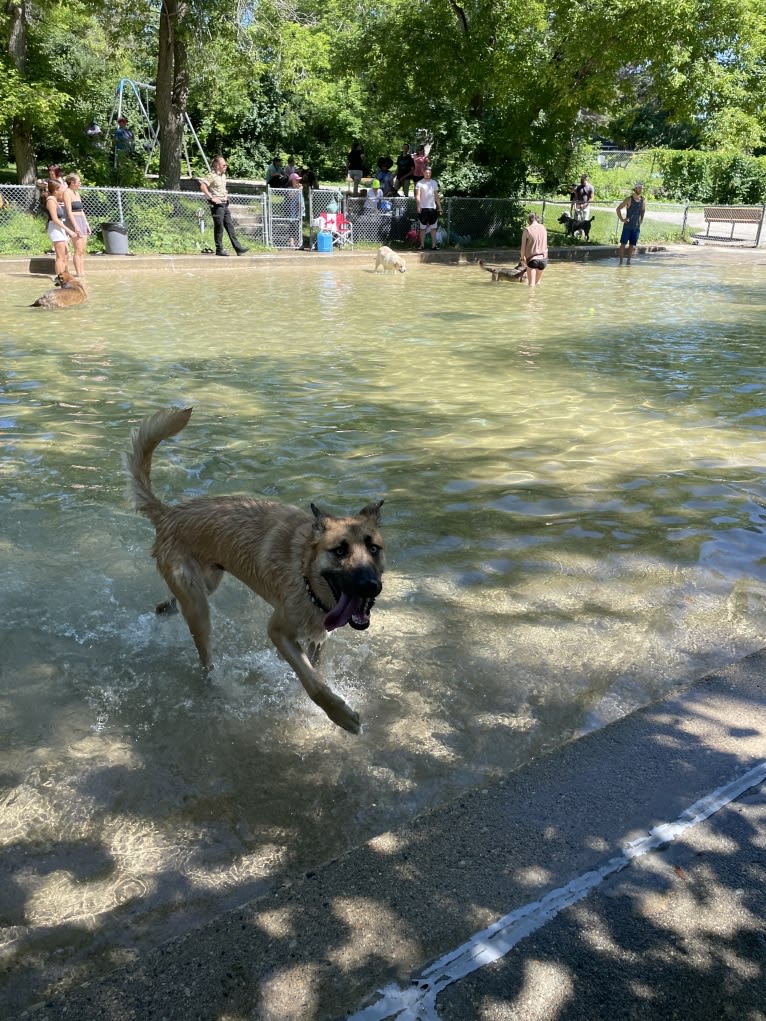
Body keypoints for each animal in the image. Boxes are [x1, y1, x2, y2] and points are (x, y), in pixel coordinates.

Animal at [127, 406, 390, 735]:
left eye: (374, 548)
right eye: (339, 551)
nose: (370, 586)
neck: (305, 573)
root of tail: (168, 513)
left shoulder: (319, 637)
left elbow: (315, 671)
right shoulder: (278, 631)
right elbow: (313, 683)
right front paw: (340, 716)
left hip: (204, 584)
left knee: (167, 605)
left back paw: (162, 614)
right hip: (200, 609)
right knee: (206, 662)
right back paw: (218, 687)